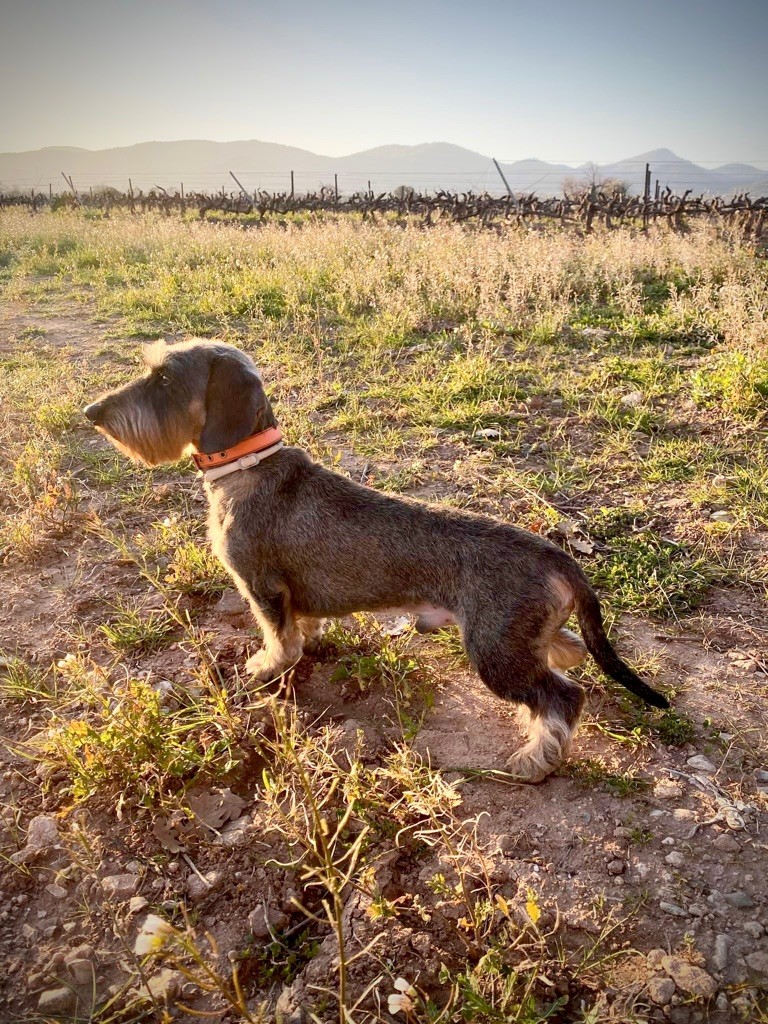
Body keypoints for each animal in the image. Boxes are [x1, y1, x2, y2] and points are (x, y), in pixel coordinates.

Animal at [83, 339, 671, 778]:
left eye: (164, 379)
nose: (92, 413)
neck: (249, 466)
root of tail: (556, 557)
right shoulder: (290, 594)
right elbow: (301, 625)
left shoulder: (261, 586)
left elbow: (279, 639)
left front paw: (266, 666)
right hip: (514, 638)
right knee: (568, 647)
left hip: (493, 653)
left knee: (562, 698)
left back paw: (535, 759)